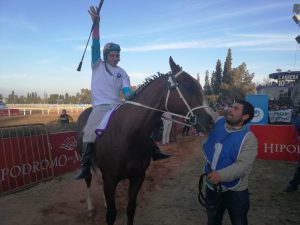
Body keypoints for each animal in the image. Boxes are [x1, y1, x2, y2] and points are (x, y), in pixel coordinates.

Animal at [76, 55, 214, 223]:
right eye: (189, 86)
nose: (211, 120)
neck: (127, 135)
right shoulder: (110, 178)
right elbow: (111, 215)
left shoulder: (137, 177)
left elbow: (130, 209)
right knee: (88, 178)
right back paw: (90, 207)